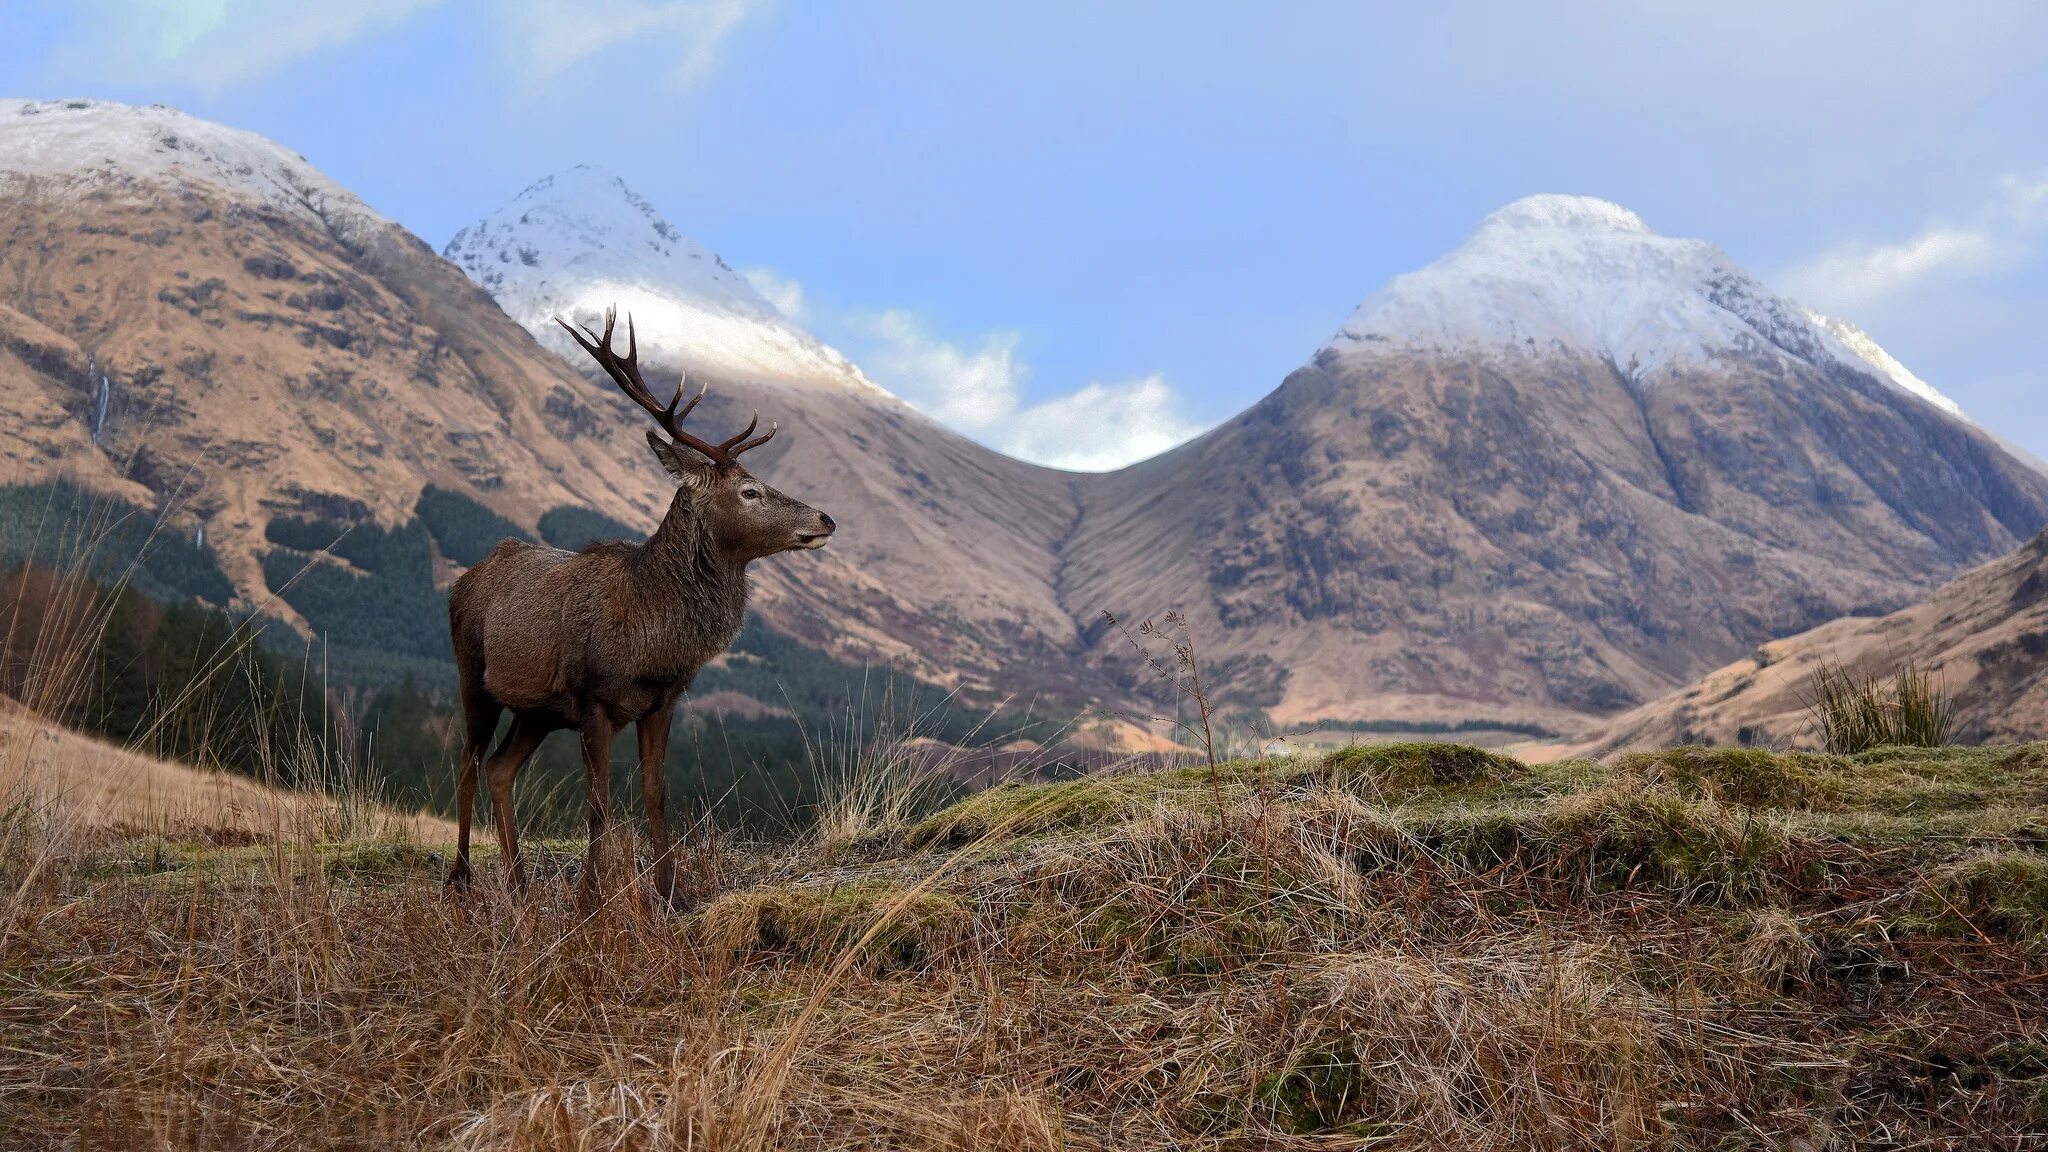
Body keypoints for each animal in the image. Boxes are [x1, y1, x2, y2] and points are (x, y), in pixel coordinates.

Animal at [446, 305, 831, 906]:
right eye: (749, 492)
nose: (825, 519)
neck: (652, 638)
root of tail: (464, 581)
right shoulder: (594, 700)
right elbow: (598, 805)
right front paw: (588, 899)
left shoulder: (661, 702)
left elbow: (656, 794)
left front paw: (672, 894)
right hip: (473, 673)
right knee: (468, 763)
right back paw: (461, 878)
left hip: (537, 711)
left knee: (500, 771)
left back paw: (520, 881)